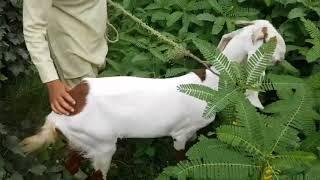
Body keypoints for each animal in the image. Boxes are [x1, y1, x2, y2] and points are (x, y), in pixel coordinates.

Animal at [21, 19, 284, 177]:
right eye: (273, 39)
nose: (284, 55)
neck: (210, 83)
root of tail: (57, 116)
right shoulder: (180, 133)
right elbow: (179, 157)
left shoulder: (193, 131)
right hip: (102, 143)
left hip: (81, 140)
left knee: (71, 162)